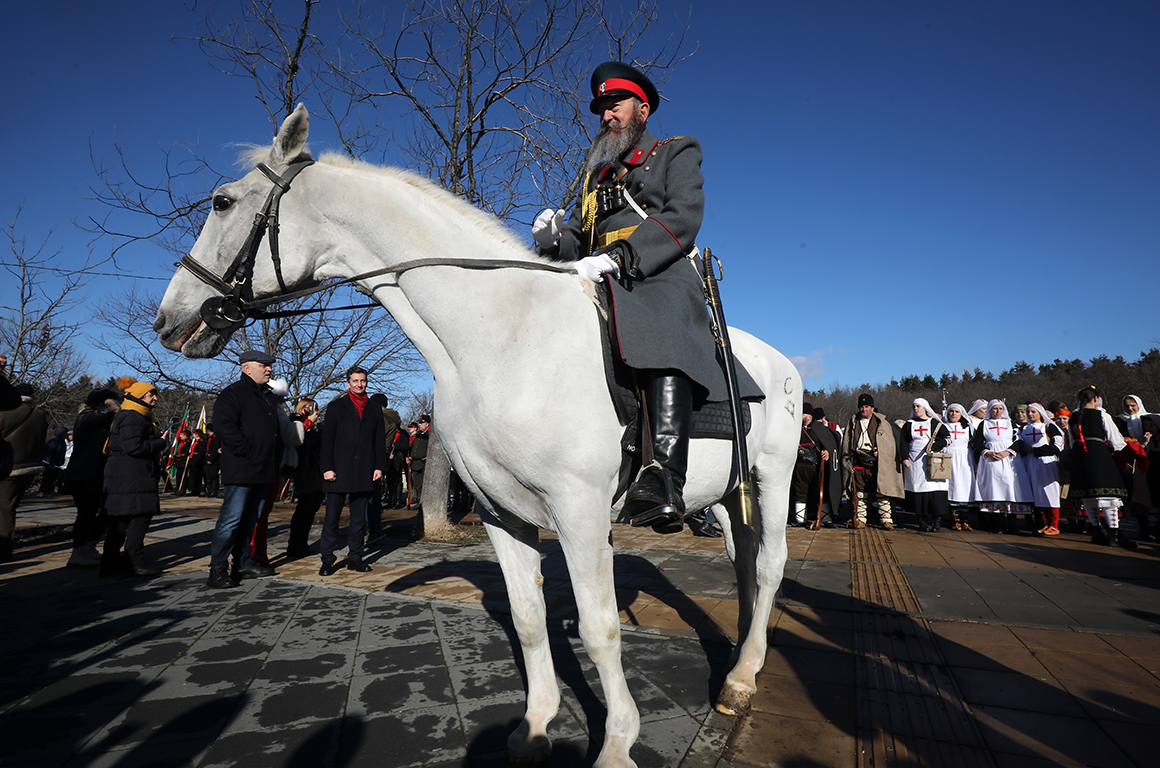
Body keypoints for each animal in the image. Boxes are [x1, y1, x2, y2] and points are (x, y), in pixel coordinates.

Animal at [156, 106, 798, 768]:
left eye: (222, 201)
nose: (169, 318)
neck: (502, 334)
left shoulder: (581, 511)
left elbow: (599, 629)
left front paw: (617, 743)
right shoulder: (499, 512)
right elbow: (528, 618)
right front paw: (535, 729)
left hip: (772, 480)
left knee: (769, 565)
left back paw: (742, 677)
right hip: (726, 496)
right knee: (744, 564)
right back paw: (740, 661)